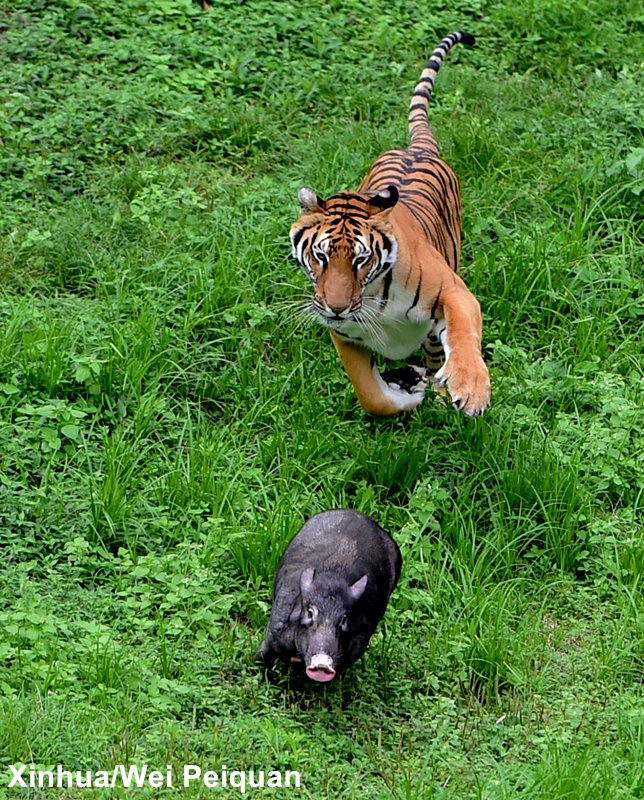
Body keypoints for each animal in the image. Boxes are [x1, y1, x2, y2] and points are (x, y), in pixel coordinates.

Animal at [290, 31, 491, 417]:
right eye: (320, 257)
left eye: (360, 259)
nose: (336, 307)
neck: (371, 298)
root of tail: (418, 148)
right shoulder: (344, 335)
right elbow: (372, 395)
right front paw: (406, 393)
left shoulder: (452, 291)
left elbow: (462, 333)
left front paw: (470, 389)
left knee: (434, 352)